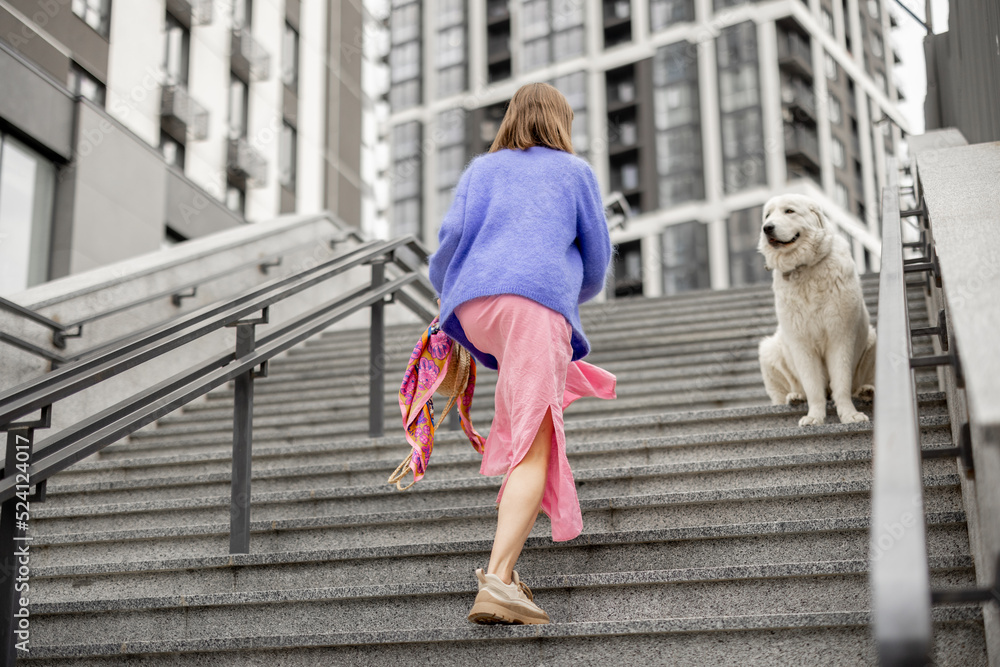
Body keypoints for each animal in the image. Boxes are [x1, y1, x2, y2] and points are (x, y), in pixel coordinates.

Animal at [756, 192, 876, 428]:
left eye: (789, 211)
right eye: (767, 215)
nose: (767, 228)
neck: (805, 269)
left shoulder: (840, 336)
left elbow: (841, 383)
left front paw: (849, 415)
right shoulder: (801, 342)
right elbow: (812, 386)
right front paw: (814, 417)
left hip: (873, 338)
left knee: (856, 384)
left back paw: (866, 391)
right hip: (769, 349)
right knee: (786, 392)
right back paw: (795, 396)